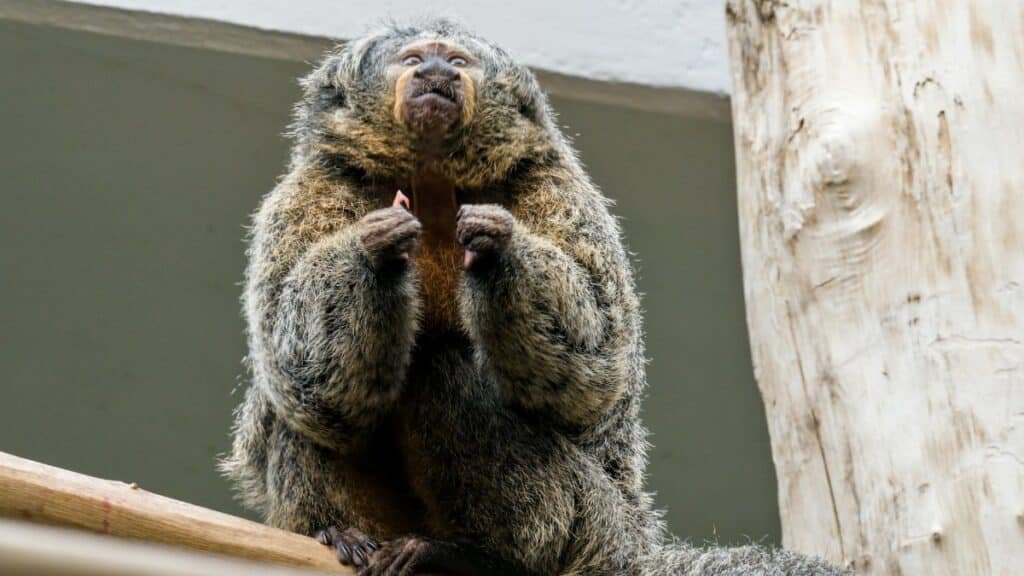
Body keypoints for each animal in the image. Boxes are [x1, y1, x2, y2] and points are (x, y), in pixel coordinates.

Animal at [221, 19, 849, 576]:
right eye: (412, 59)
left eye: (458, 61)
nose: (434, 72)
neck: (433, 182)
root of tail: (630, 542)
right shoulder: (309, 192)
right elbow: (301, 368)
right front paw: (377, 247)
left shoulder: (556, 187)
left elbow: (596, 369)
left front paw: (497, 246)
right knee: (301, 404)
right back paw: (345, 534)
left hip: (591, 518)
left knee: (444, 371)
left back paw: (477, 557)